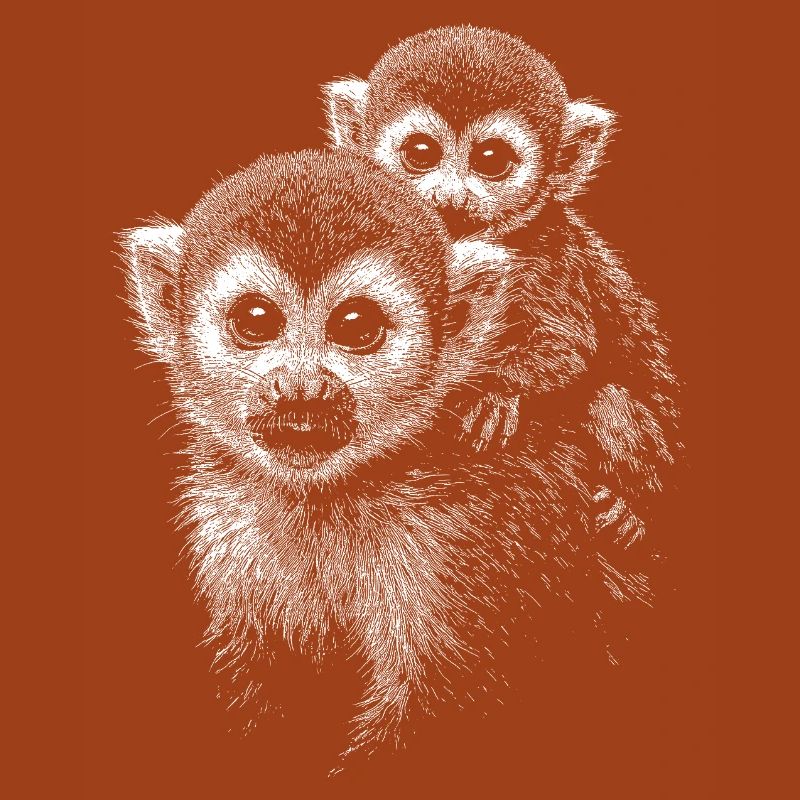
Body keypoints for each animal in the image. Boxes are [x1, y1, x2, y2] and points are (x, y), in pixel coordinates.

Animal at [120, 148, 649, 766]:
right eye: (255, 320)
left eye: (356, 326)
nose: (301, 389)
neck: (331, 496)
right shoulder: (232, 525)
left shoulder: (467, 536)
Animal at [322, 25, 681, 549]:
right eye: (420, 154)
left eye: (492, 160)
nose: (451, 198)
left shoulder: (545, 251)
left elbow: (567, 346)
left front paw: (495, 393)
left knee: (607, 399)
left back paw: (631, 510)